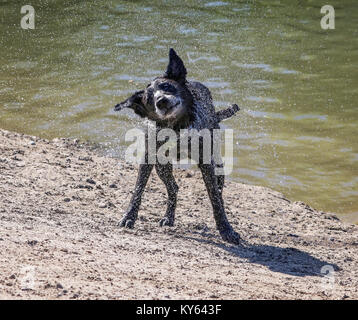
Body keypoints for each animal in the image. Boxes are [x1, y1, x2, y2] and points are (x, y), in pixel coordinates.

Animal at [114, 47, 241, 244]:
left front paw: (226, 229)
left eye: (166, 86)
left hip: (216, 164)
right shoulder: (149, 158)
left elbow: (214, 200)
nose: (161, 101)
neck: (177, 128)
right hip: (162, 167)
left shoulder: (206, 163)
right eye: (148, 100)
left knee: (218, 193)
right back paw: (169, 216)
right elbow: (138, 189)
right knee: (174, 188)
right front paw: (129, 216)